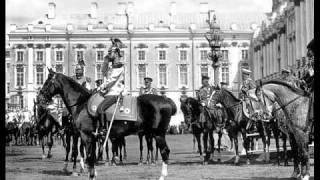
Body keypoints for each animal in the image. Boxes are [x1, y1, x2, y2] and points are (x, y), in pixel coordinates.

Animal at [39, 68, 178, 180]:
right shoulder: (91, 137)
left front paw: (90, 175)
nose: (40, 96)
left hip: (158, 134)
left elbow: (89, 156)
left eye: (47, 82)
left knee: (164, 151)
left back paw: (161, 176)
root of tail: (166, 100)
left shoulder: (86, 135)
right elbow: (90, 156)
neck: (81, 103)